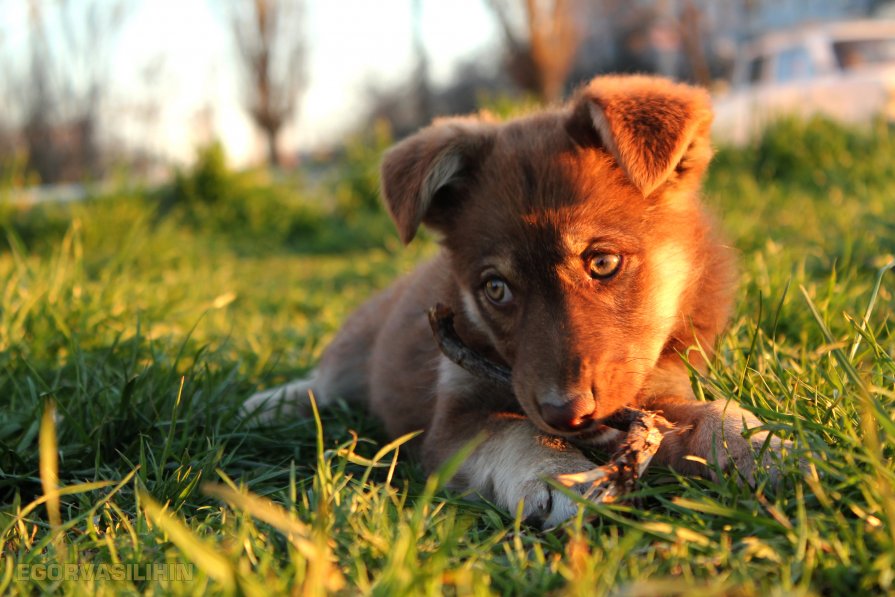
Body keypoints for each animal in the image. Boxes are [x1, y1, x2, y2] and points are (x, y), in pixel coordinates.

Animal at [245, 73, 784, 528]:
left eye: (603, 263)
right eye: (496, 288)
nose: (566, 414)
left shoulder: (659, 387)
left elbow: (713, 411)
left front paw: (763, 446)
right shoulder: (455, 420)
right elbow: (517, 432)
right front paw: (561, 475)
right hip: (355, 347)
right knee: (324, 382)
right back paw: (266, 404)